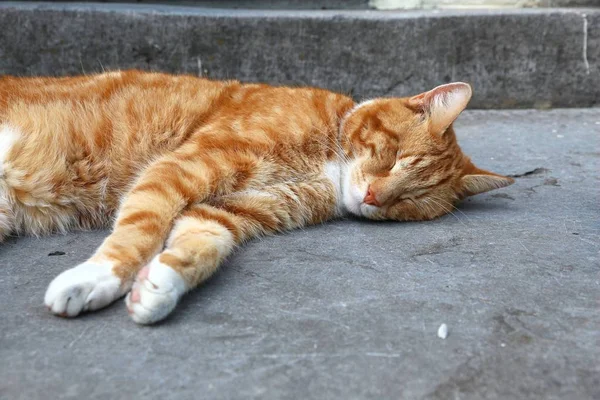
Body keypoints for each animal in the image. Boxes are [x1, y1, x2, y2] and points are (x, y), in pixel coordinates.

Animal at [0, 70, 516, 324]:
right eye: (393, 159)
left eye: (407, 202)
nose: (373, 196)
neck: (330, 163)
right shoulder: (178, 169)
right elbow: (138, 232)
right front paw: (95, 279)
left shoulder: (228, 210)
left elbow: (201, 246)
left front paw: (159, 289)